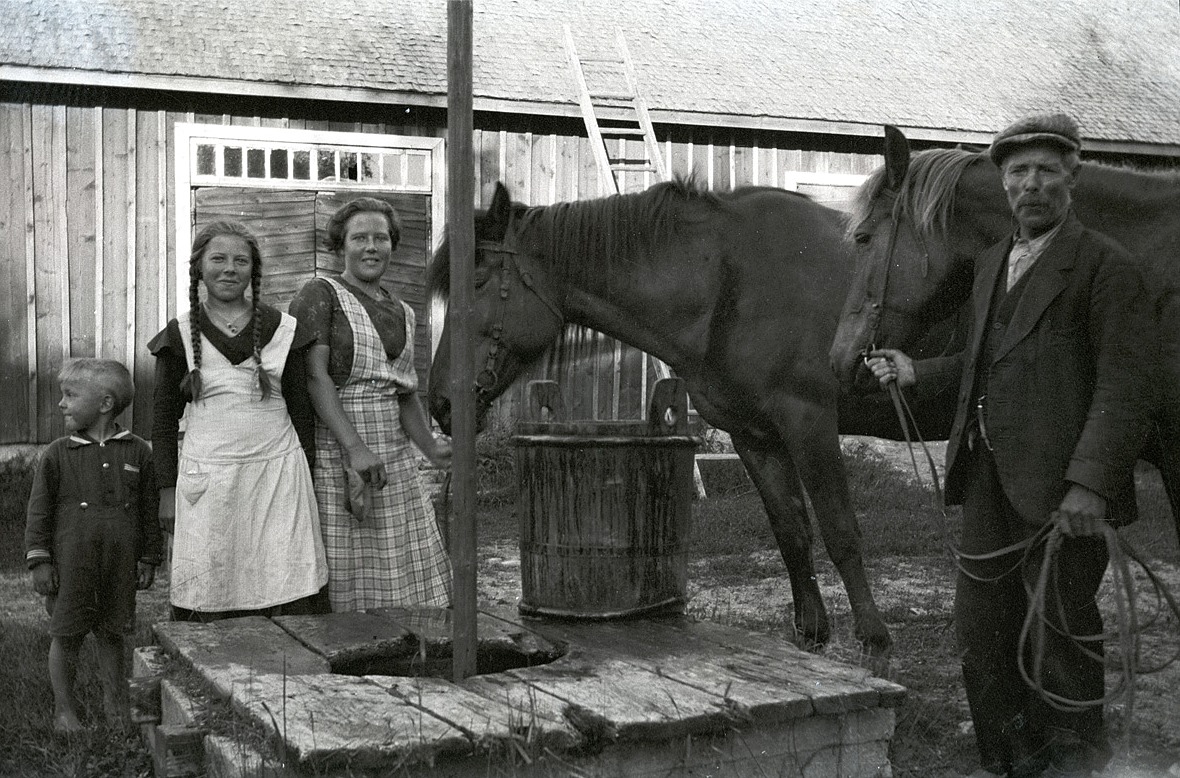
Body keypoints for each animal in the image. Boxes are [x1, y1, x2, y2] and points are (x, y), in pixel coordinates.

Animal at [429, 179, 896, 656]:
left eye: (477, 282)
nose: (441, 402)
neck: (730, 282)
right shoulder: (757, 438)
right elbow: (792, 532)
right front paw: (812, 633)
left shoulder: (810, 422)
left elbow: (840, 531)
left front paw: (874, 638)